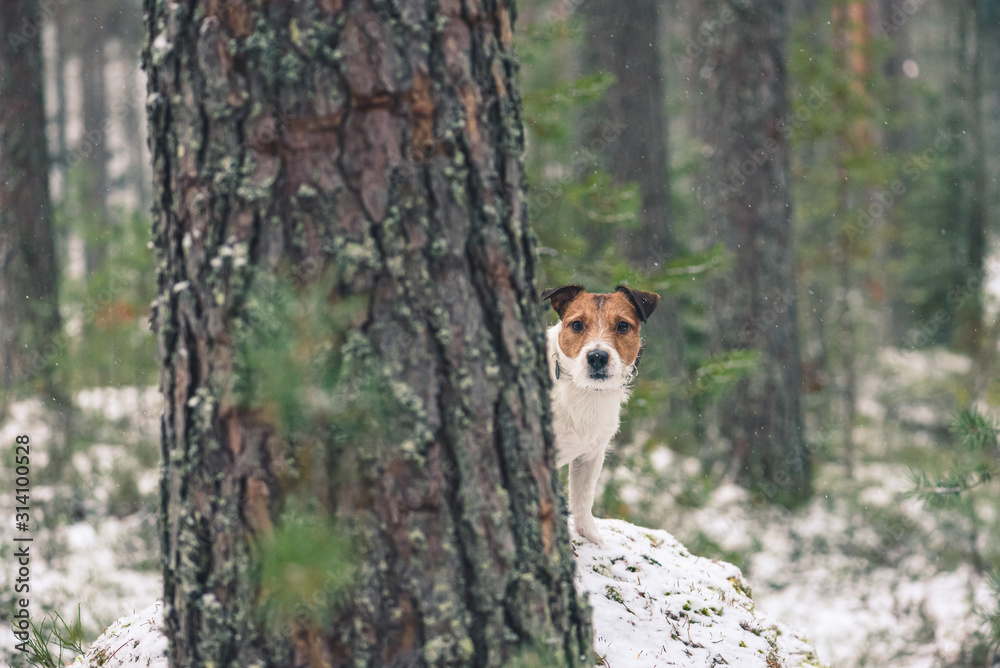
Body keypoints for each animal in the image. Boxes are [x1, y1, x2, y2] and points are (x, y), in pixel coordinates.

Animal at [544, 284, 660, 544]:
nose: (597, 357)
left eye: (623, 326)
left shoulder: (591, 456)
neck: (584, 391)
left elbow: (583, 497)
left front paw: (591, 537)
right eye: (577, 325)